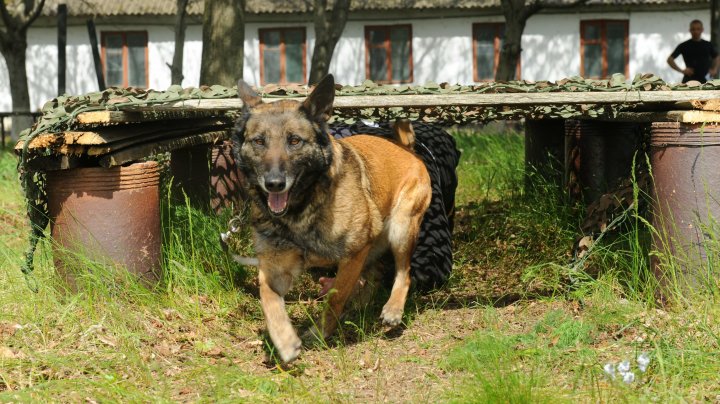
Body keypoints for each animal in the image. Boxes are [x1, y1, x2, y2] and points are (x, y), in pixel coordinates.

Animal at [233, 75, 430, 362]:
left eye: (295, 141)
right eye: (259, 141)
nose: (274, 184)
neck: (302, 211)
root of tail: (406, 149)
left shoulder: (354, 253)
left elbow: (335, 298)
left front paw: (320, 333)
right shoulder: (275, 267)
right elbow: (267, 298)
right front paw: (284, 340)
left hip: (402, 228)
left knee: (404, 273)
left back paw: (393, 309)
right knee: (374, 276)